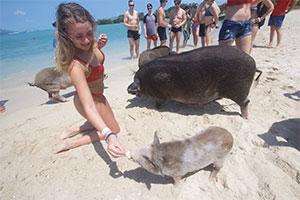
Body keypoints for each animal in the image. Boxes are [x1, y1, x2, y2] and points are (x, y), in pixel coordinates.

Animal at [126, 46, 260, 118]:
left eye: (136, 85)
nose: (128, 89)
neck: (146, 82)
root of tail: (252, 60)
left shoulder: (159, 95)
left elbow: (159, 102)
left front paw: (156, 108)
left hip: (238, 90)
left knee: (246, 102)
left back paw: (244, 117)